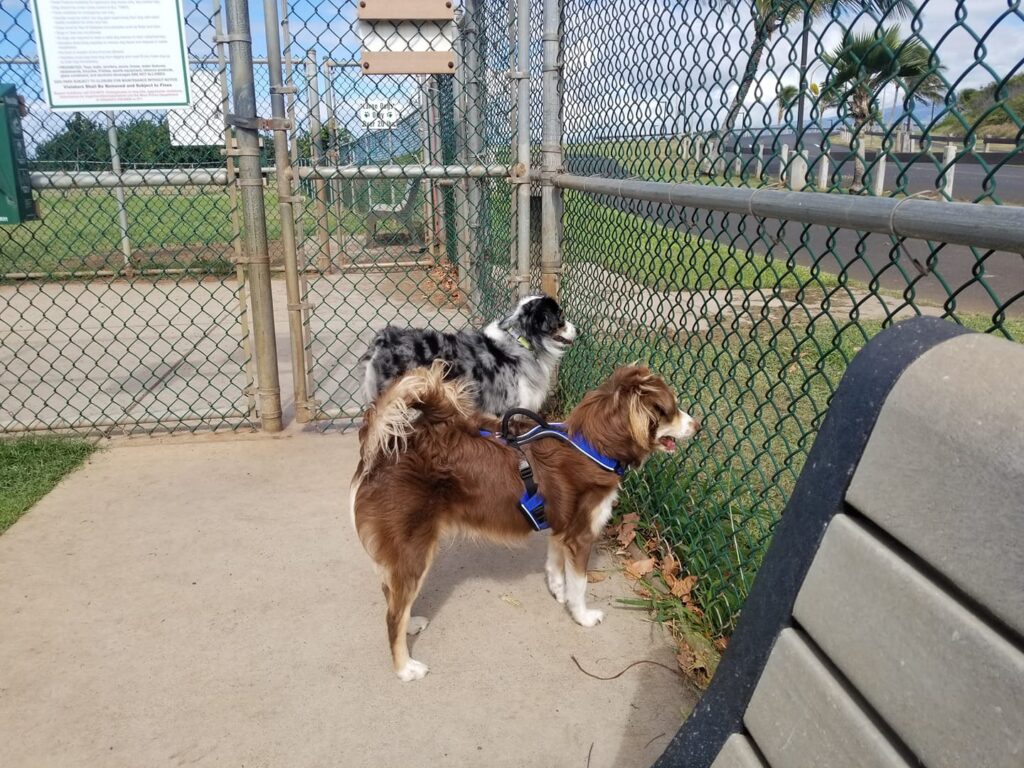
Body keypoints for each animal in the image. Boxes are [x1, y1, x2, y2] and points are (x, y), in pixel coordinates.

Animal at [348, 364, 700, 684]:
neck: (594, 445)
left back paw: (411, 624)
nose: (697, 425)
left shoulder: (561, 530)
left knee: (394, 597)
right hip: (414, 550)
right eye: (671, 410)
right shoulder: (581, 536)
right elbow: (581, 584)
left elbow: (555, 566)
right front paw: (583, 616)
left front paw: (559, 593)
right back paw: (405, 668)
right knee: (393, 614)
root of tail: (383, 453)